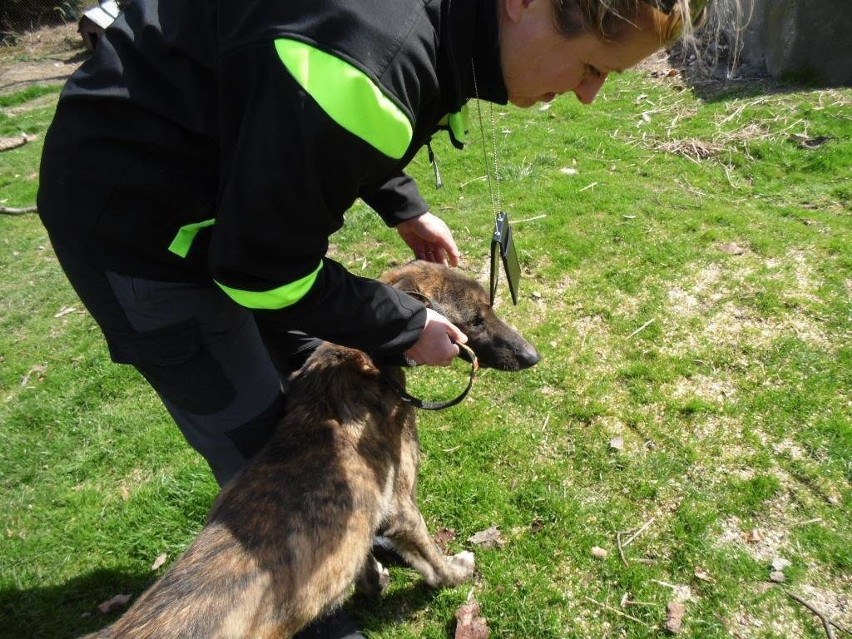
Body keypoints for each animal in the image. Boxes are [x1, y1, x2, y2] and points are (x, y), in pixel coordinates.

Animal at [85, 262, 540, 636]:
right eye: (476, 320)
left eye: (491, 307)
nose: (532, 356)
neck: (361, 358)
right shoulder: (402, 506)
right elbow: (431, 556)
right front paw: (454, 574)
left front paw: (371, 579)